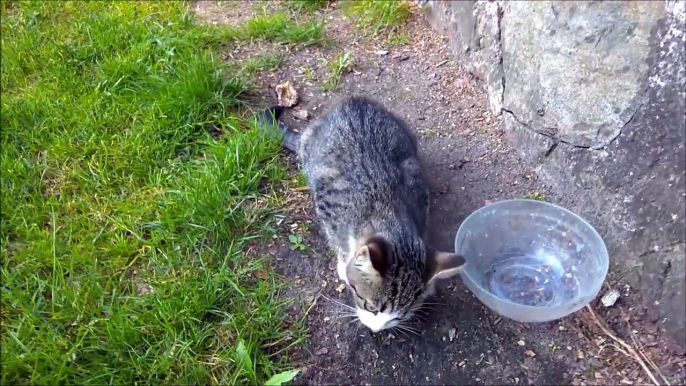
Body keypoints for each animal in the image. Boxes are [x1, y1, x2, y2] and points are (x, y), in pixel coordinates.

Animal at [260, 96, 468, 332]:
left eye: (399, 317)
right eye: (371, 307)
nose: (376, 329)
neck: (386, 211)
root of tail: (354, 101)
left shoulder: (418, 189)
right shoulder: (327, 203)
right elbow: (337, 240)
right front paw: (344, 265)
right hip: (310, 144)